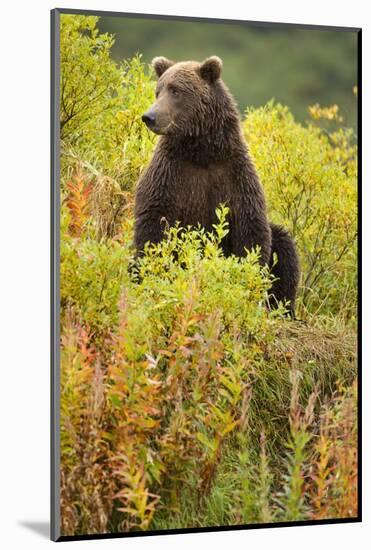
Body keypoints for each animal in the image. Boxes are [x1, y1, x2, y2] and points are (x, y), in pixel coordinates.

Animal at [134, 56, 300, 316]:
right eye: (158, 91)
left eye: (175, 90)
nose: (149, 116)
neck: (202, 151)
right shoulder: (169, 172)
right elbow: (154, 220)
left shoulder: (235, 175)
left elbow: (250, 232)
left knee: (284, 247)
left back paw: (283, 308)